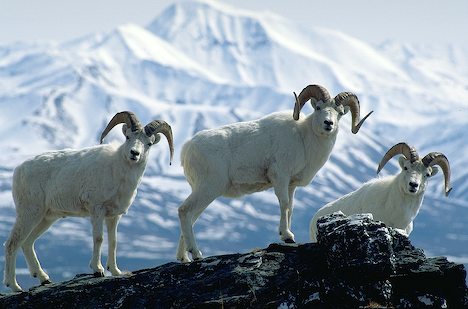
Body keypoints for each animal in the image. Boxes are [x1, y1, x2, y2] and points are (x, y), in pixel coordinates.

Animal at [2, 111, 175, 292]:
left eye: (149, 143)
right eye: (128, 137)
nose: (134, 153)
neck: (117, 171)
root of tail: (18, 170)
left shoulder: (113, 216)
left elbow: (113, 241)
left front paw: (116, 271)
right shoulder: (97, 210)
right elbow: (98, 238)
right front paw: (98, 270)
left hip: (46, 218)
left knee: (27, 243)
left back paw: (44, 279)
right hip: (29, 213)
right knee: (12, 243)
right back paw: (15, 286)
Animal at [176, 83, 372, 262]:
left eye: (339, 112)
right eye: (318, 108)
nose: (328, 124)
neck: (304, 139)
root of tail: (187, 148)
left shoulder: (291, 184)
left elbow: (290, 208)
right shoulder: (280, 177)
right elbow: (284, 204)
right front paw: (287, 236)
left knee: (191, 218)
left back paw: (184, 258)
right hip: (209, 188)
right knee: (184, 211)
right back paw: (196, 254)